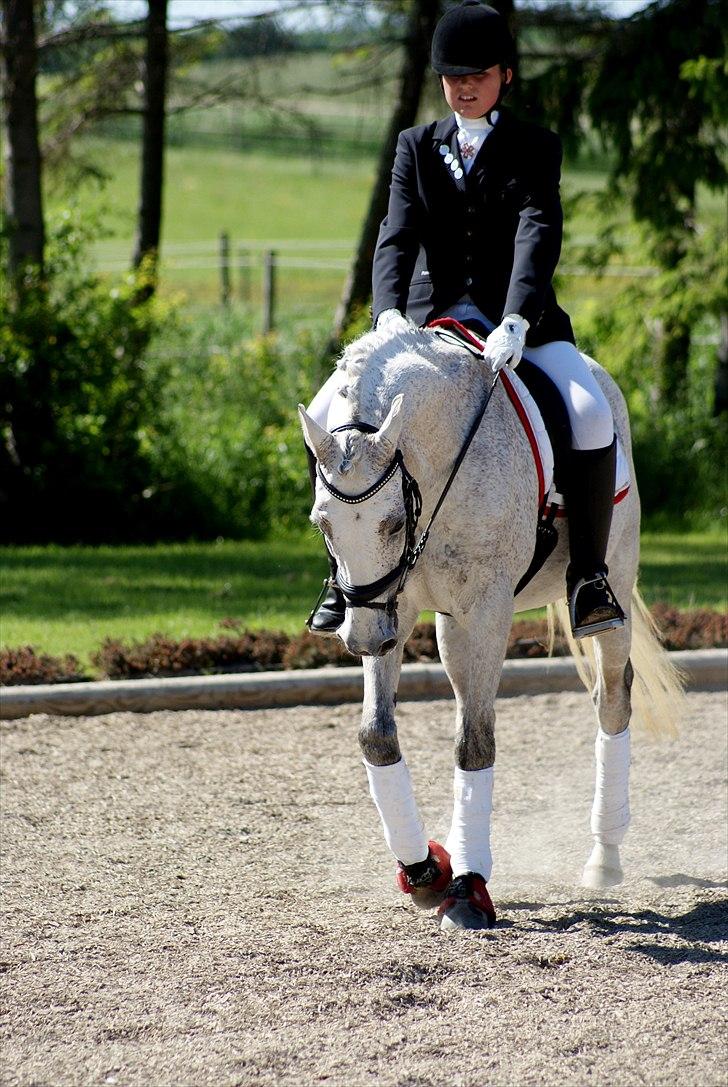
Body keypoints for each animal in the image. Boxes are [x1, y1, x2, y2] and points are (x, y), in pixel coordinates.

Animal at [298, 315, 683, 932]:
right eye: (321, 523)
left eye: (391, 523)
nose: (362, 640)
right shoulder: (394, 604)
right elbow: (377, 737)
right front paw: (424, 869)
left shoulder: (480, 613)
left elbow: (474, 744)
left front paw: (467, 886)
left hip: (615, 581)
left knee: (613, 699)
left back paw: (604, 856)